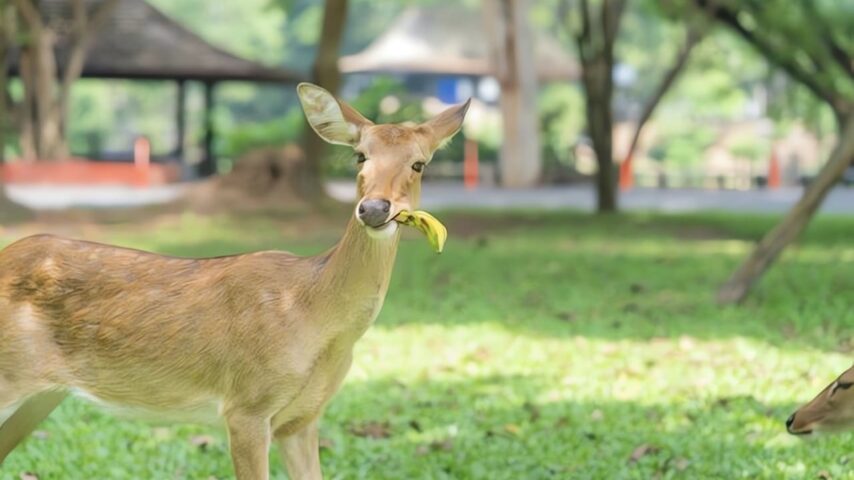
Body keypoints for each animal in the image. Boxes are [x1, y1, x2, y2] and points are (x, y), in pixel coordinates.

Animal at [0, 83, 472, 480]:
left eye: (419, 163)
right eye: (360, 156)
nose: (373, 209)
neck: (312, 312)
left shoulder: (303, 418)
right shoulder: (246, 407)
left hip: (40, 396)